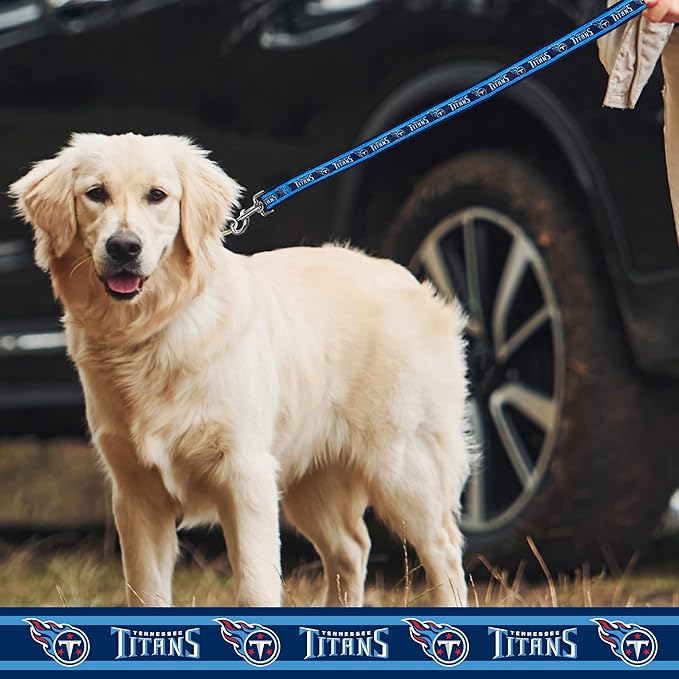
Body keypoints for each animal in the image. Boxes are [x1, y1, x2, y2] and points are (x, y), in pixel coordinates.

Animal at [9, 133, 472, 604]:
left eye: (157, 195)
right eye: (96, 194)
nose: (124, 247)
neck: (154, 330)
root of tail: (411, 281)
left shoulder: (245, 477)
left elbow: (255, 584)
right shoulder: (137, 492)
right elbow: (147, 591)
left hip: (402, 468)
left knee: (443, 549)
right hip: (312, 480)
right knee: (352, 547)